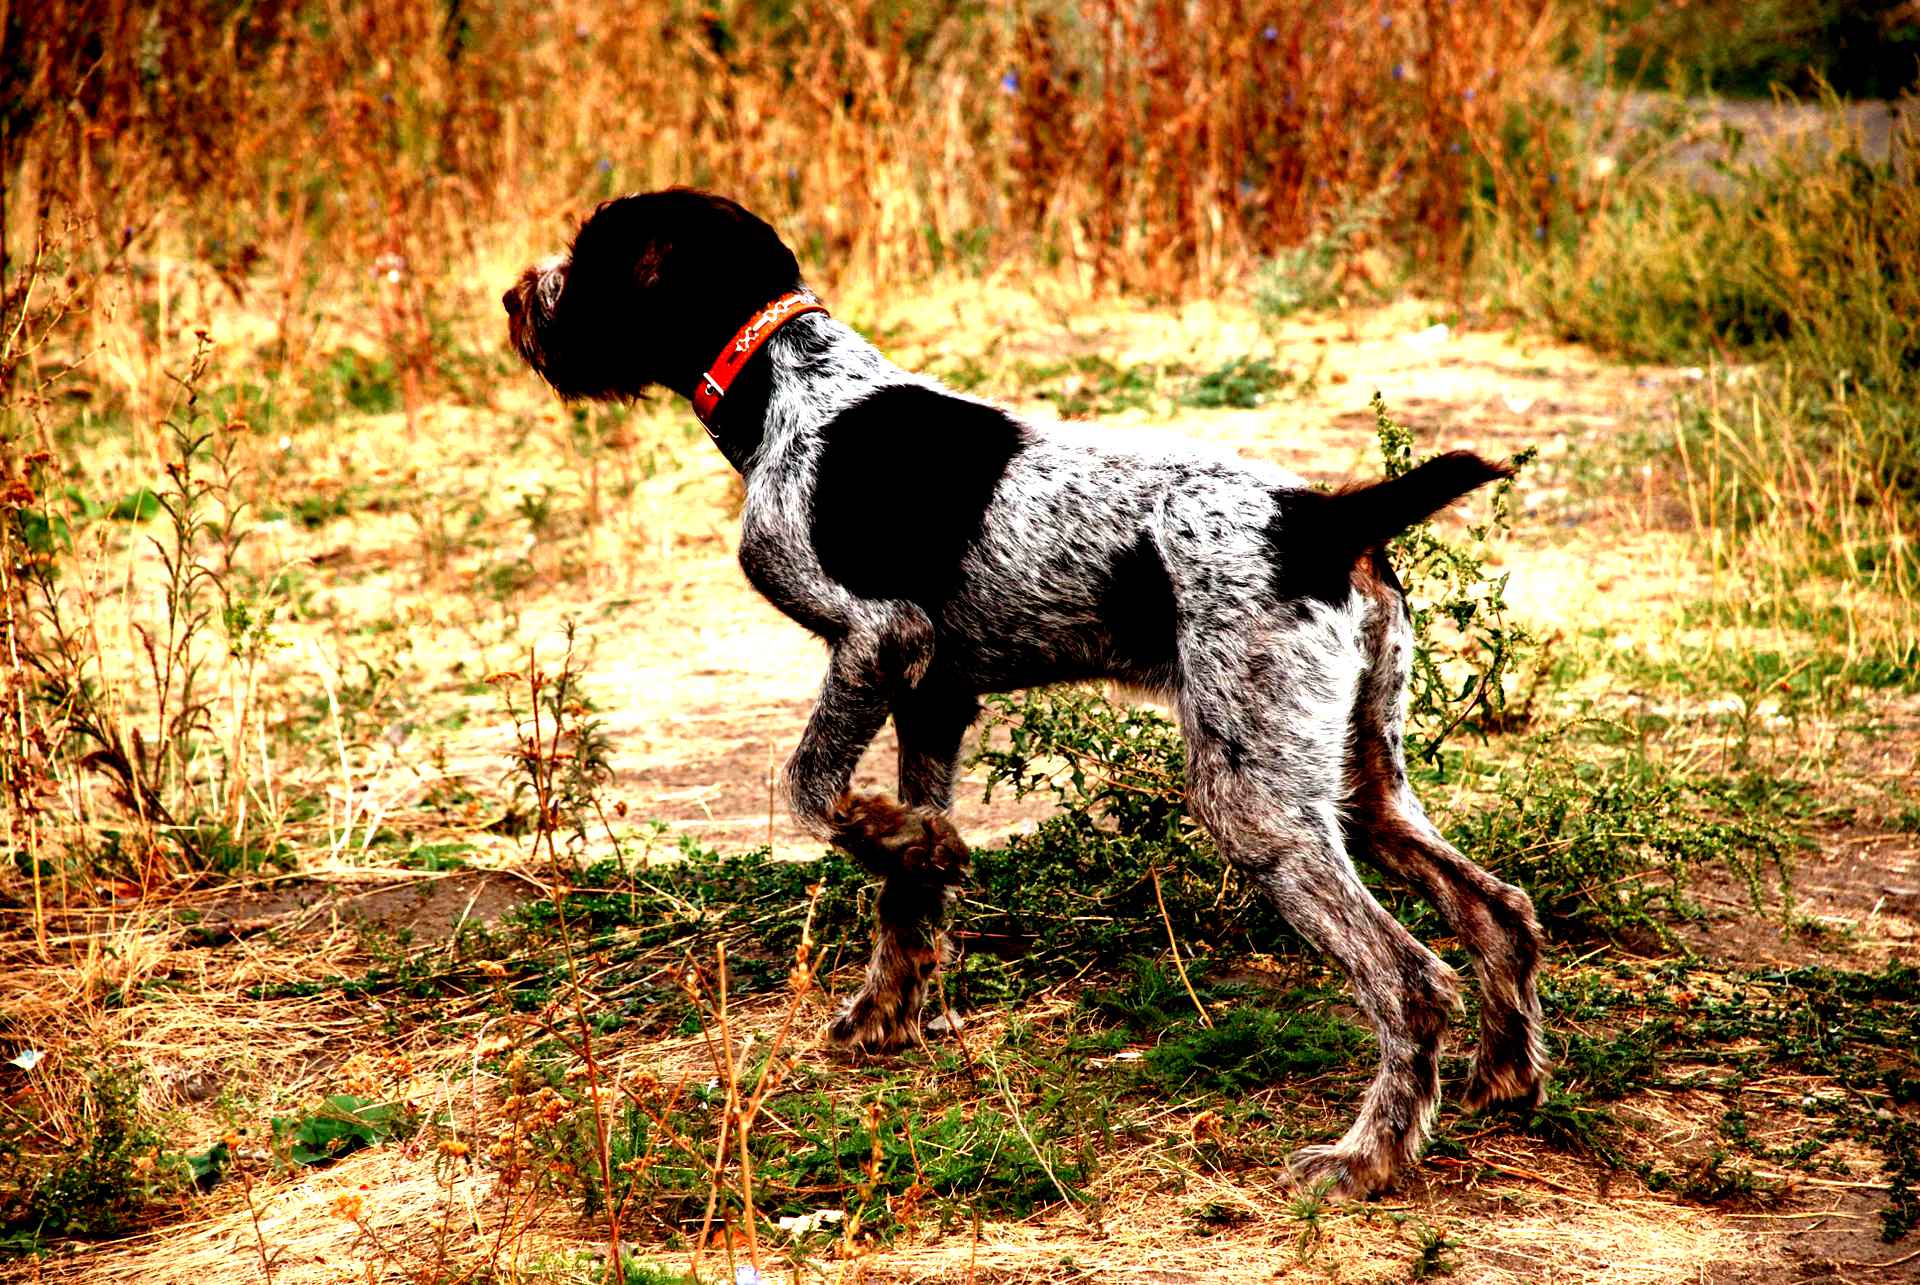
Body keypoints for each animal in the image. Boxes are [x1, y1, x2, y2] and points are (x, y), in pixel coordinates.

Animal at [506, 185, 1543, 1198]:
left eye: (591, 253)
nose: (516, 298)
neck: (789, 385)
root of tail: (1329, 516)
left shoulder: (880, 638)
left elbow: (815, 790)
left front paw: (907, 843)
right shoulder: (932, 696)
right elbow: (902, 886)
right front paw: (890, 998)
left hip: (1254, 798)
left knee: (1411, 980)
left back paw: (1368, 1155)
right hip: (1359, 776)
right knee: (1496, 908)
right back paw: (1504, 1077)